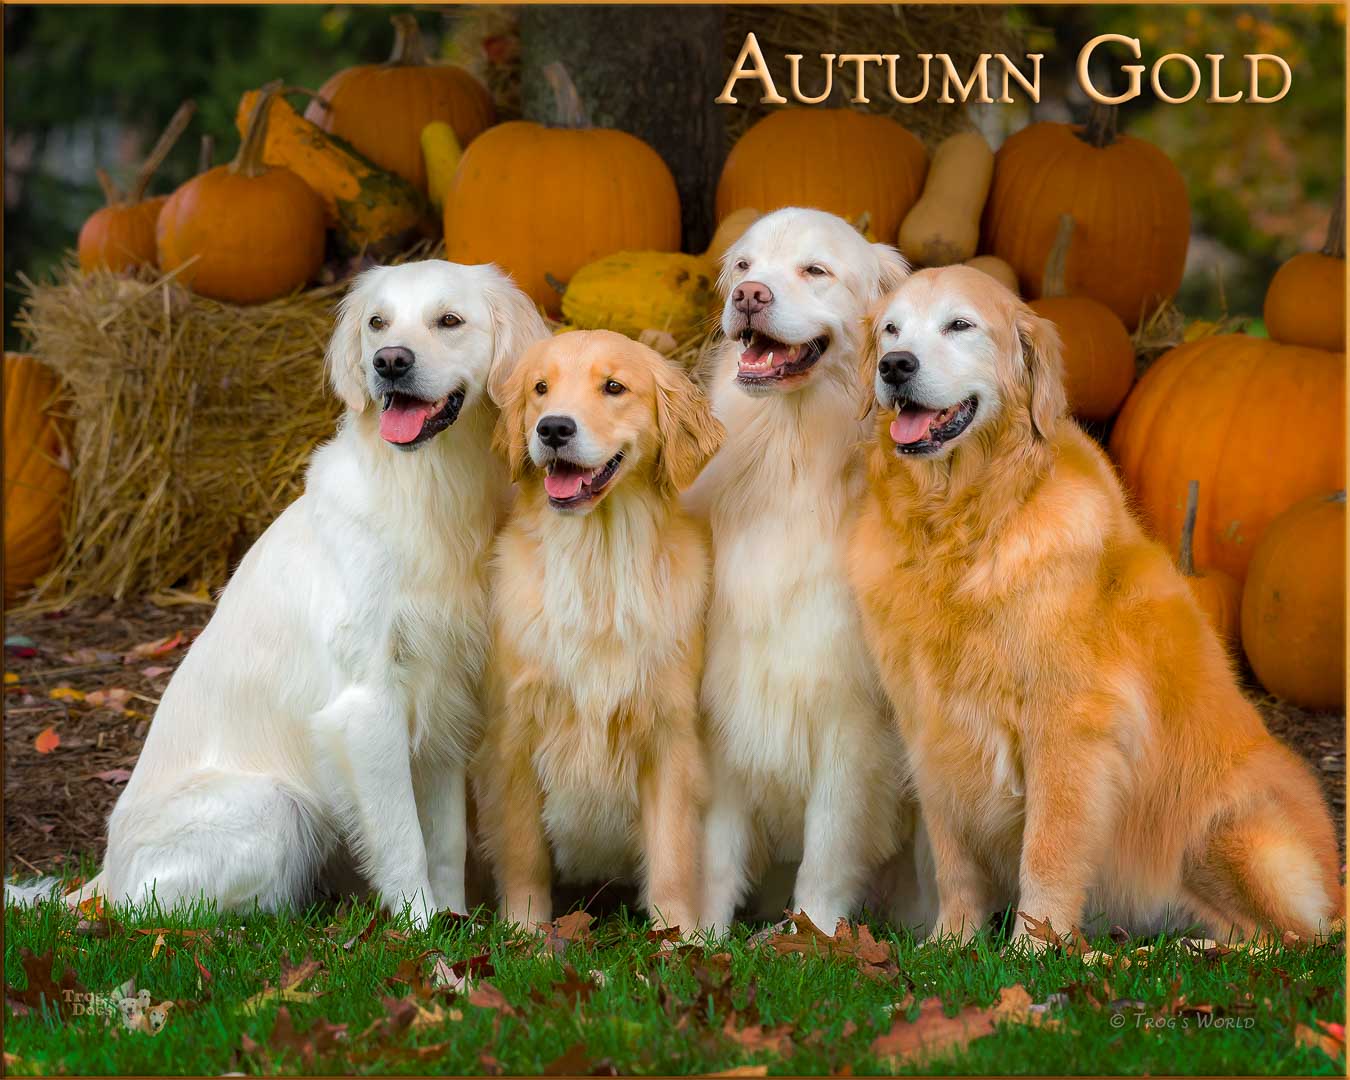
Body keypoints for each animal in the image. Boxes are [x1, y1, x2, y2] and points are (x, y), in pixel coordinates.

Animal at [71, 259, 545, 918]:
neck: (427, 487)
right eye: (377, 323)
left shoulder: (444, 699)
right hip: (276, 808)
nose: (389, 362)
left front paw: (457, 919)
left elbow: (446, 840)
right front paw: (424, 929)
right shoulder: (367, 704)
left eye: (449, 320)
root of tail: (102, 878)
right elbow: (403, 841)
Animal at [475, 329, 729, 928]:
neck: (598, 557)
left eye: (614, 387)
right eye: (540, 388)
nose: (553, 429)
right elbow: (523, 852)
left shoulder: (669, 734)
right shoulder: (514, 735)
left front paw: (679, 935)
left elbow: (672, 856)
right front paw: (524, 931)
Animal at [691, 206, 934, 934]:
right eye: (745, 267)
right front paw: (696, 938)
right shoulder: (727, 700)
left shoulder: (851, 718)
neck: (790, 459)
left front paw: (812, 935)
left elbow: (828, 847)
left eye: (815, 271)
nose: (749, 297)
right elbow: (715, 850)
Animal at [847, 265, 1344, 939]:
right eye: (891, 329)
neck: (963, 528)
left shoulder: (1070, 726)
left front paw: (1033, 949)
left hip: (1229, 826)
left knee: (1294, 938)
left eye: (960, 325)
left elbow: (1049, 852)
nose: (895, 366)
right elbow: (954, 861)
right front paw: (951, 943)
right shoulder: (931, 729)